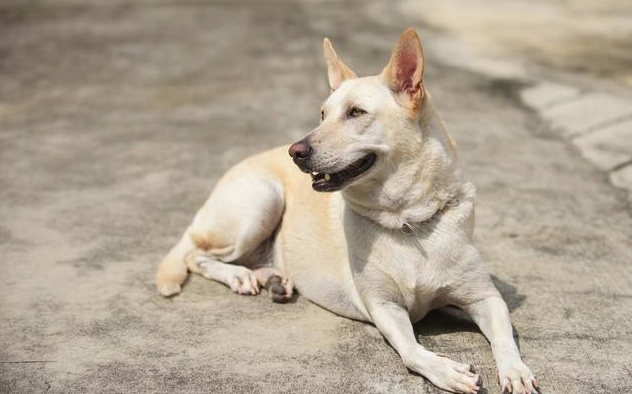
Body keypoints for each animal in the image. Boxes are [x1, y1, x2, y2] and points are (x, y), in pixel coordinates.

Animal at [157, 28, 540, 394]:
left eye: (356, 112)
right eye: (322, 115)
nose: (296, 151)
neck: (408, 221)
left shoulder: (485, 297)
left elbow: (505, 338)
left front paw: (516, 372)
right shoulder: (384, 307)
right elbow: (413, 352)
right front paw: (446, 371)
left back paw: (274, 280)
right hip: (260, 203)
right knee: (195, 255)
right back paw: (239, 276)